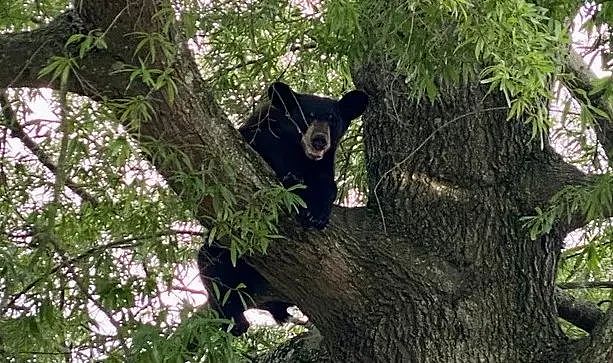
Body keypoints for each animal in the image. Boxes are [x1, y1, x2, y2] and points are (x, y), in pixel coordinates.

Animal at [198, 82, 366, 336]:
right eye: (307, 116)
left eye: (333, 119)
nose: (319, 140)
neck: (297, 151)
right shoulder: (260, 134)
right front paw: (290, 180)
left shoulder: (323, 165)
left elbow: (328, 186)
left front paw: (316, 214)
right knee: (211, 264)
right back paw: (237, 320)